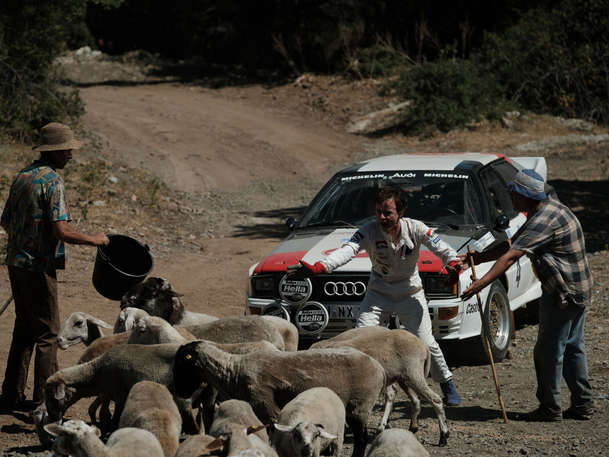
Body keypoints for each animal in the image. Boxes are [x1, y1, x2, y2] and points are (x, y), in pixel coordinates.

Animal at [171, 338, 384, 456]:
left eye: (182, 361)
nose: (179, 392)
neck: (233, 371)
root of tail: (379, 367)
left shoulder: (267, 406)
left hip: (360, 407)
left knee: (362, 438)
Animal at [312, 324, 448, 446]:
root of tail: (423, 346)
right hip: (402, 377)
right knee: (410, 399)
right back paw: (407, 427)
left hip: (413, 374)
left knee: (435, 400)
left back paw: (444, 436)